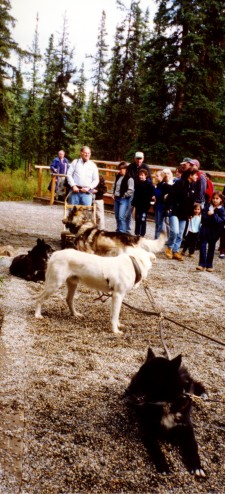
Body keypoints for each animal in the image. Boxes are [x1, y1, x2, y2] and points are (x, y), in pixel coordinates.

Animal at [125, 348, 207, 478]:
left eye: (150, 377)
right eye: (139, 373)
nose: (127, 390)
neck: (166, 402)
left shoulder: (187, 428)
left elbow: (192, 447)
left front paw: (197, 467)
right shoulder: (148, 430)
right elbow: (157, 450)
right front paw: (164, 466)